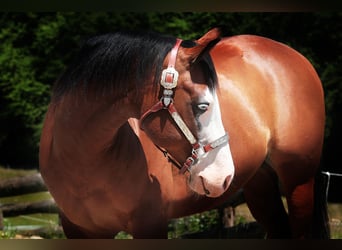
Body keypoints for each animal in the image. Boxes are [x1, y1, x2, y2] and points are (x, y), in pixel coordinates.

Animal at [39, 27, 328, 238]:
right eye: (202, 106)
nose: (223, 176)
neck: (84, 162)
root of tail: (294, 55)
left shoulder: (150, 224)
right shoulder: (79, 230)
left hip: (298, 180)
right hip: (260, 182)